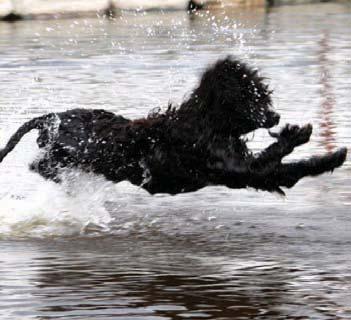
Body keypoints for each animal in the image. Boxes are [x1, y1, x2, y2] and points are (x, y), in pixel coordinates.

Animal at [0, 56, 346, 194]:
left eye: (263, 93)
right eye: (252, 97)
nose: (274, 117)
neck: (207, 123)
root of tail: (51, 117)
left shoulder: (255, 175)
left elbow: (291, 170)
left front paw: (331, 156)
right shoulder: (236, 168)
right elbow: (276, 159)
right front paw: (297, 135)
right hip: (78, 154)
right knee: (39, 164)